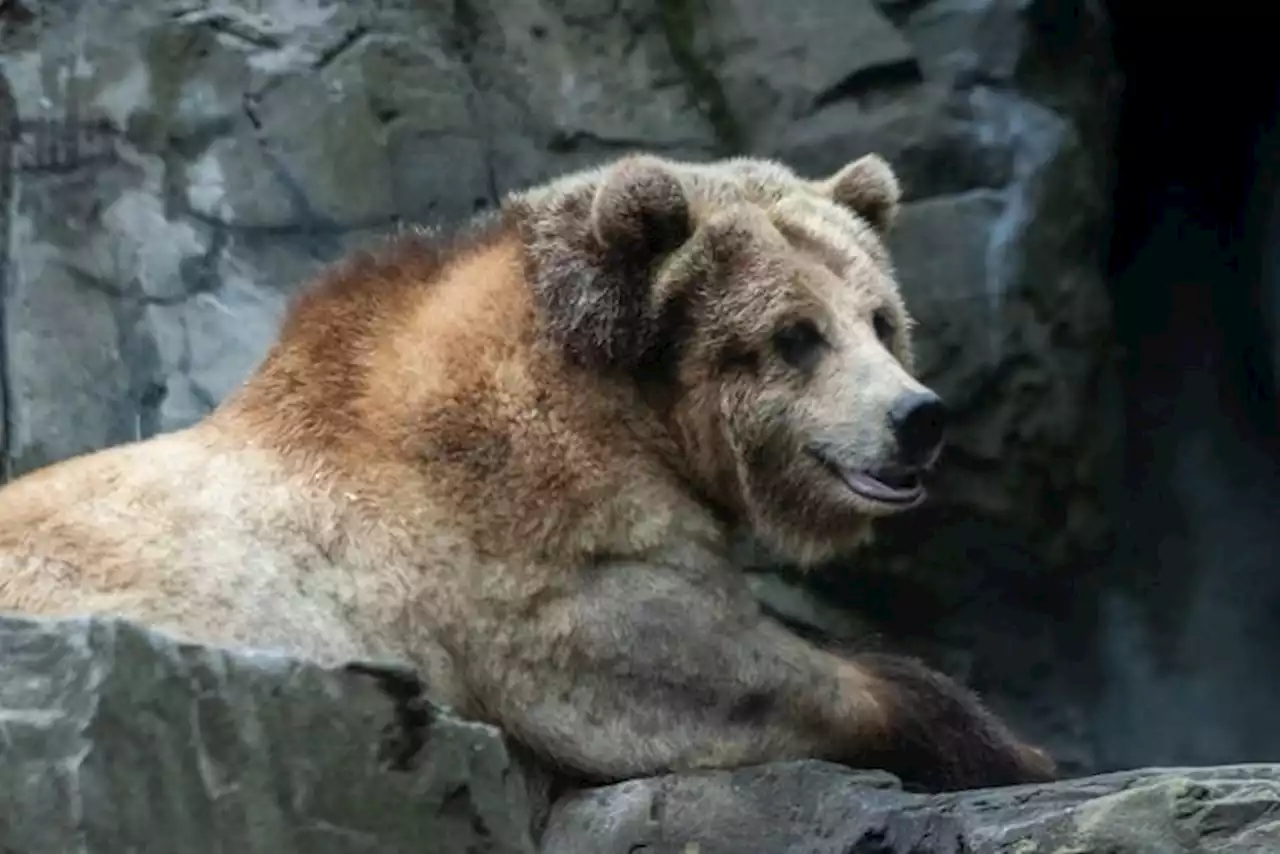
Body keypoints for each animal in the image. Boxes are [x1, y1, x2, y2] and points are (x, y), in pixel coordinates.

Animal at [0, 148, 1054, 793]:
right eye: (796, 336)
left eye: (880, 319)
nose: (917, 418)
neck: (633, 403)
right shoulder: (525, 547)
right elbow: (693, 671)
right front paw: (1010, 745)